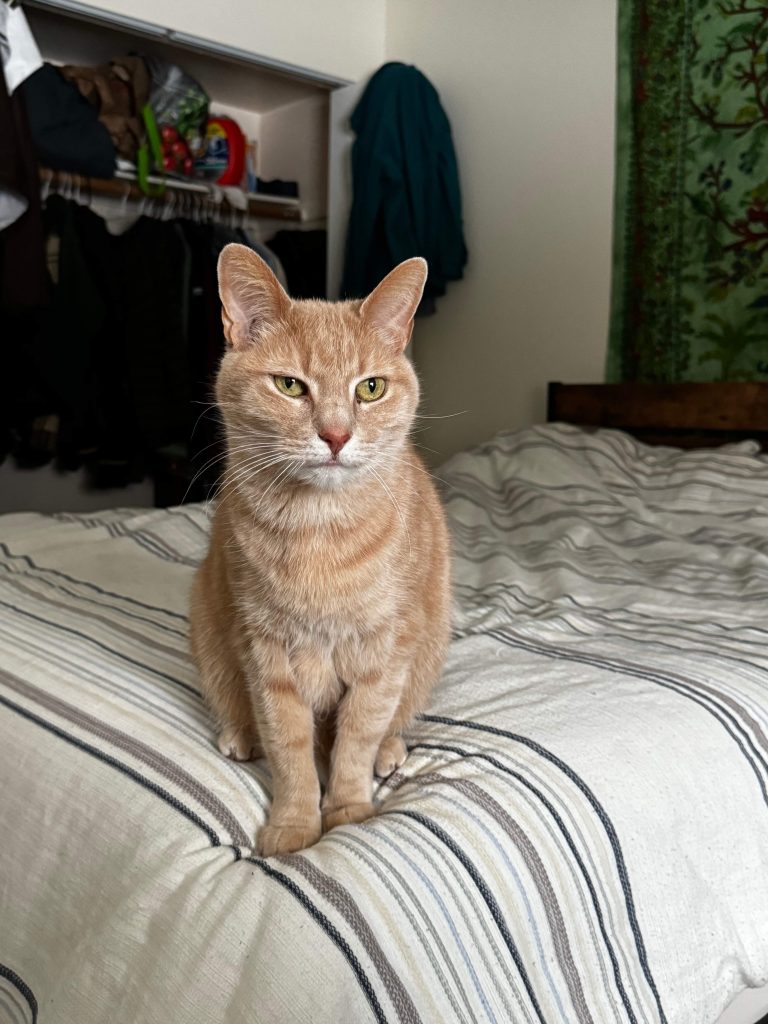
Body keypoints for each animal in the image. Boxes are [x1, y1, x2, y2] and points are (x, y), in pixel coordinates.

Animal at [189, 245, 450, 856]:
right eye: (290, 385)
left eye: (370, 388)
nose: (335, 436)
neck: (318, 531)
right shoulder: (266, 655)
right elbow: (289, 751)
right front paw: (293, 826)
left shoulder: (383, 655)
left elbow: (356, 738)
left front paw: (349, 812)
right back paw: (238, 736)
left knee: (388, 725)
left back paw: (390, 750)